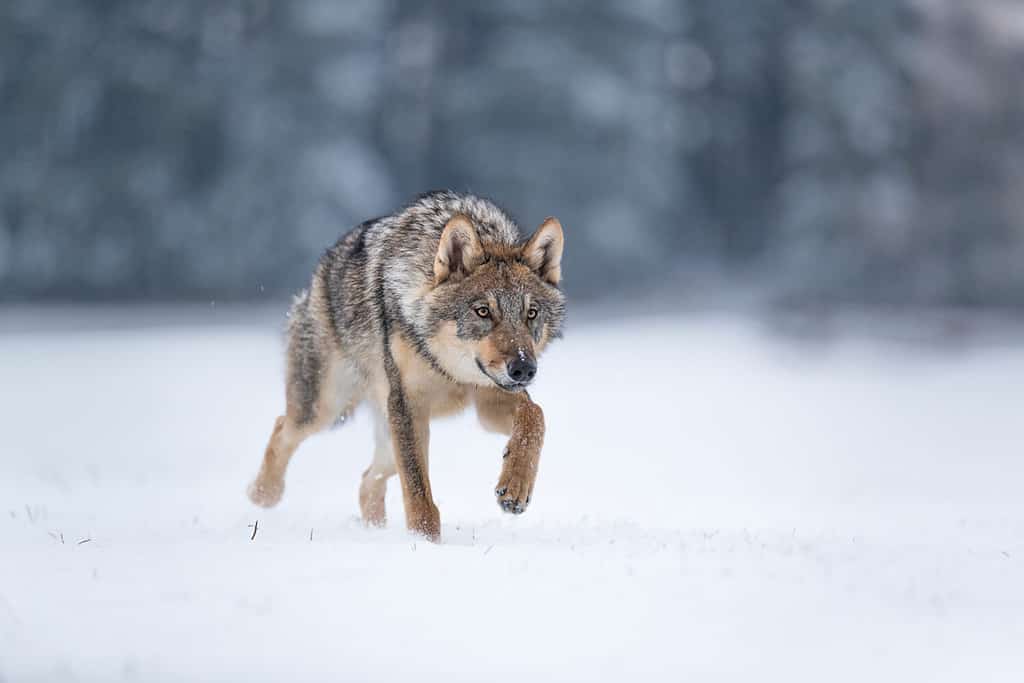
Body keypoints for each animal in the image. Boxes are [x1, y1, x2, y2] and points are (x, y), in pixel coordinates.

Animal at [247, 189, 569, 540]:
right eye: (483, 311)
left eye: (531, 313)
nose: (524, 369)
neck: (447, 369)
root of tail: (320, 272)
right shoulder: (408, 403)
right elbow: (417, 490)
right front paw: (426, 543)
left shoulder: (488, 397)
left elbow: (534, 416)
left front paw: (515, 487)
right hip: (329, 410)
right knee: (283, 427)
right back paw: (262, 494)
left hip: (386, 434)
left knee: (367, 481)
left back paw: (374, 532)